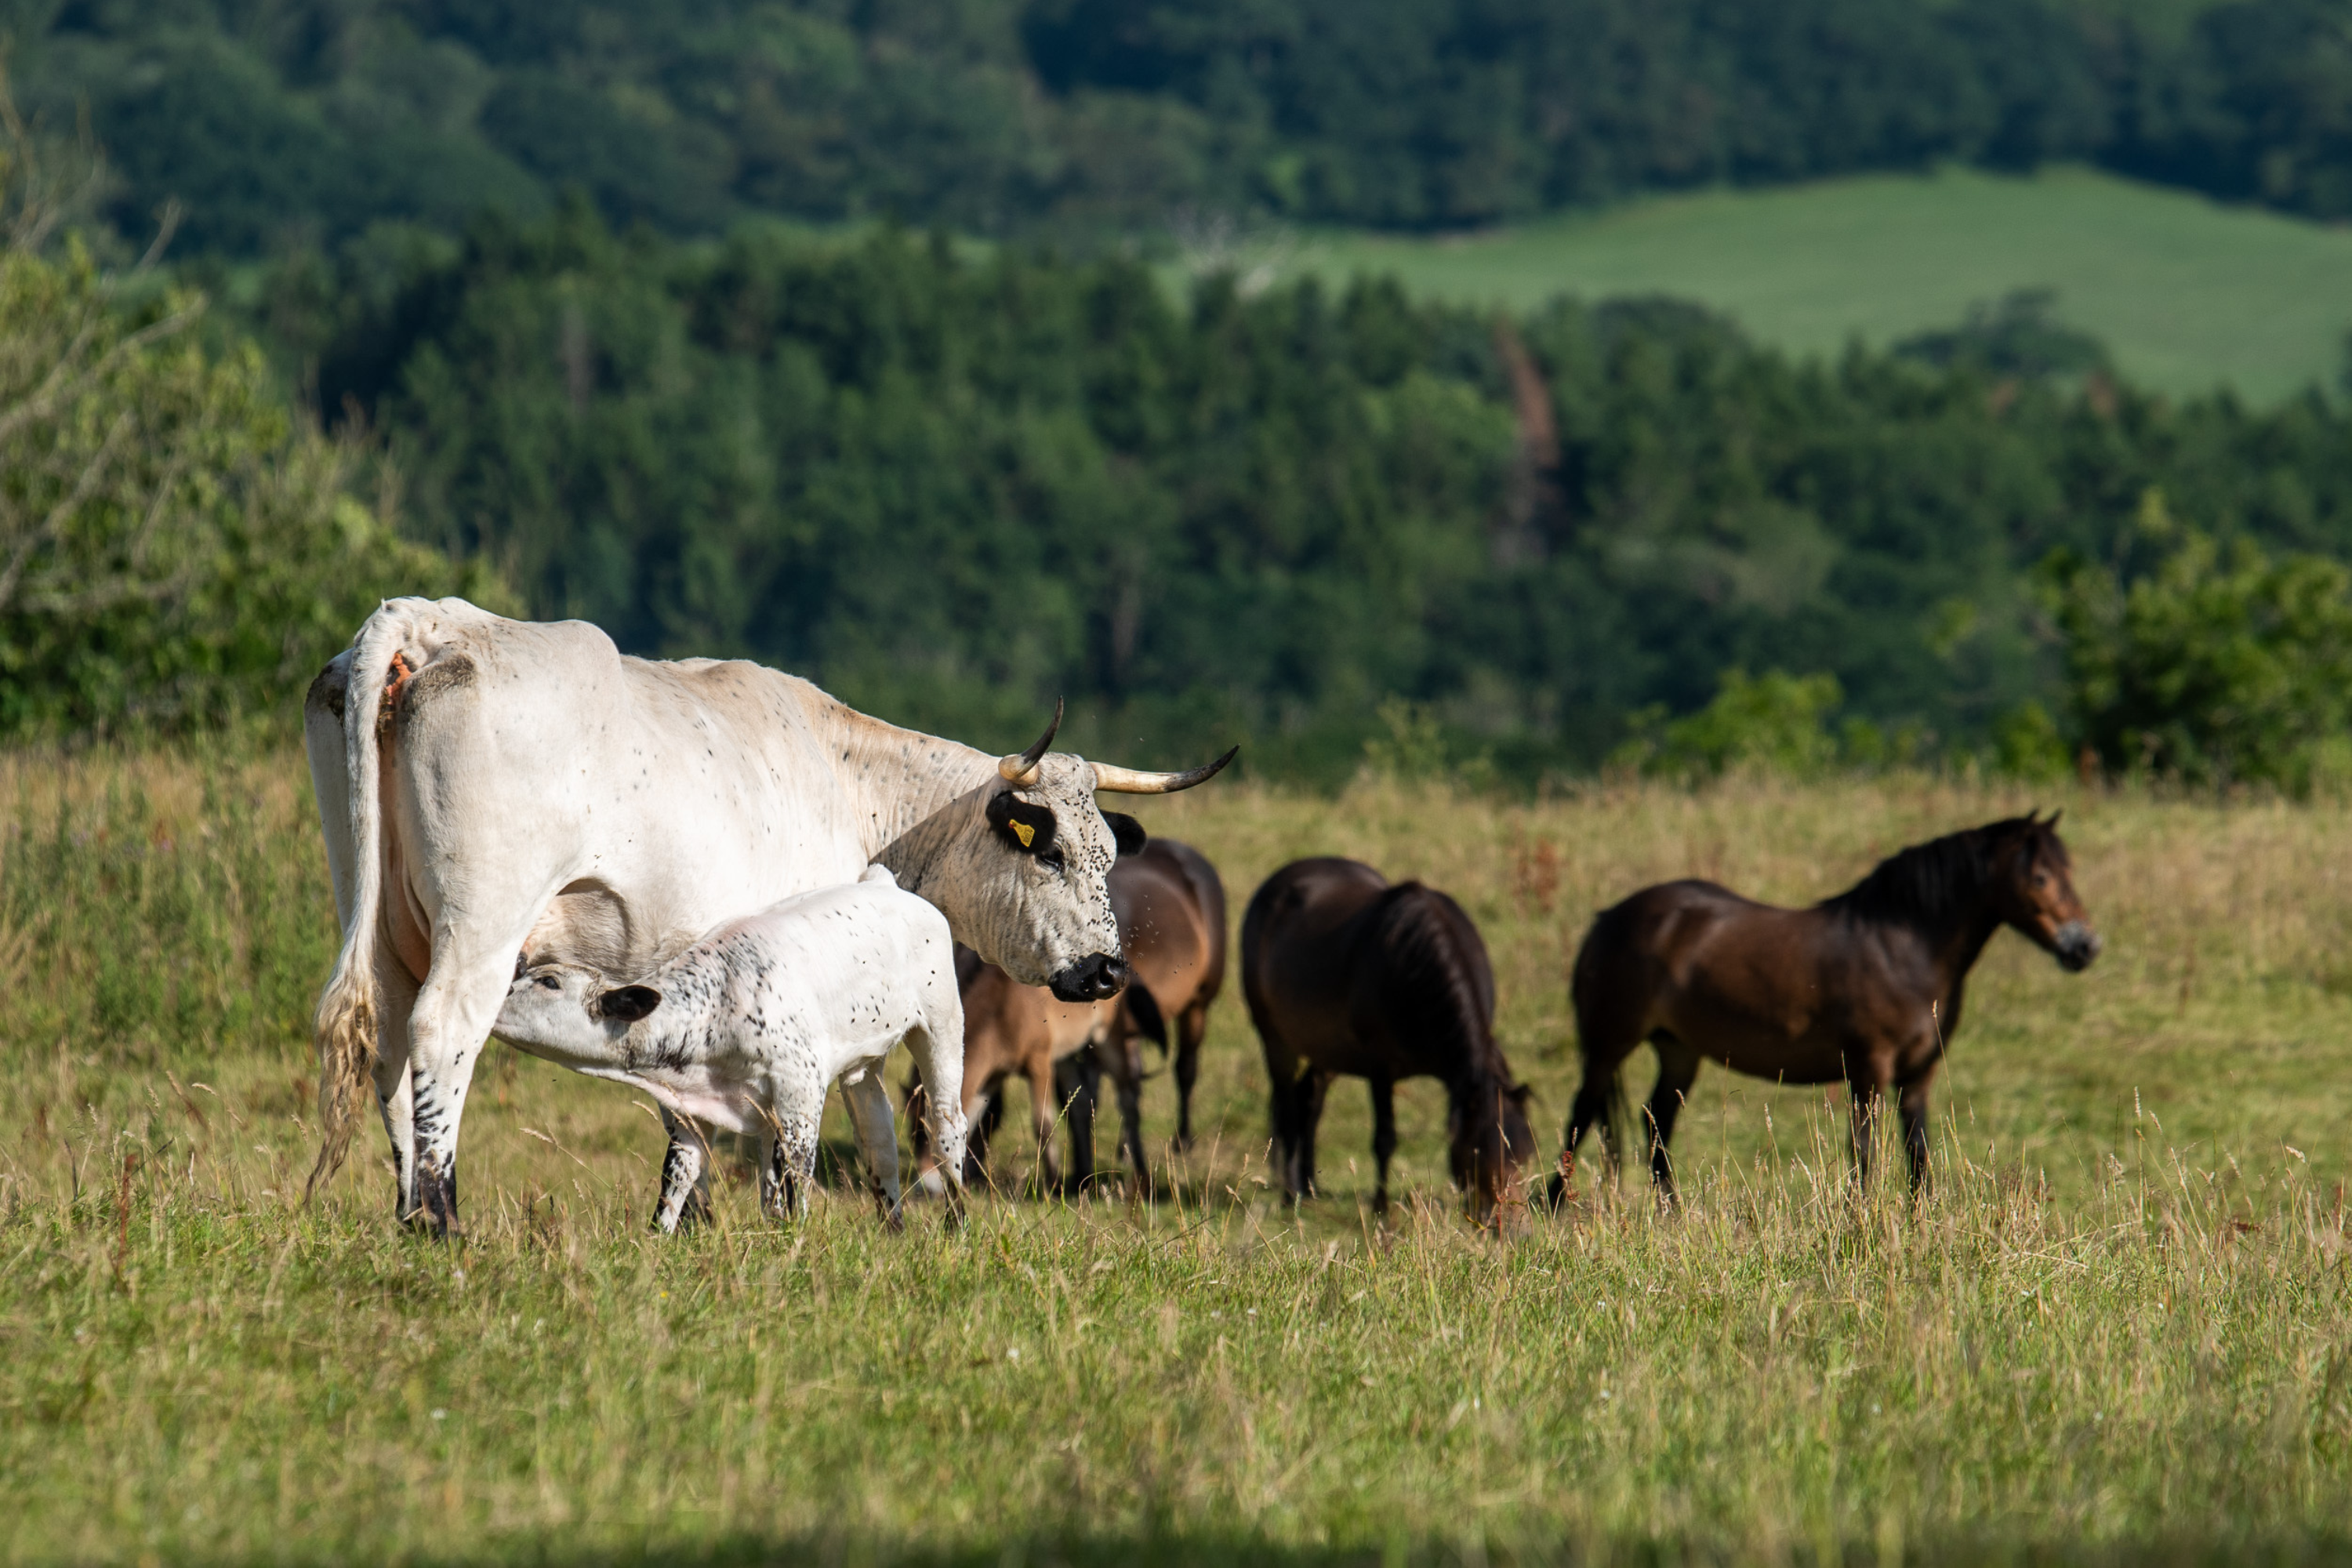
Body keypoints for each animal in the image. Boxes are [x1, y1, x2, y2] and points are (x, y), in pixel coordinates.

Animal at [491, 866, 967, 1232]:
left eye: (549, 982)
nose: (496, 996)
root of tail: (884, 884)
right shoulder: (692, 1109)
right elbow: (679, 1175)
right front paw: (656, 1240)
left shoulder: (800, 1089)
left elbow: (795, 1170)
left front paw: (795, 1238)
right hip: (864, 1066)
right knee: (878, 1137)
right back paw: (894, 1229)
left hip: (942, 1025)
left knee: (946, 1123)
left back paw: (956, 1224)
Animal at [1241, 857, 1535, 1226]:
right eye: (1478, 1154)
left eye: (1526, 1155)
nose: (1516, 1230)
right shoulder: (1381, 1068)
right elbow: (1385, 1139)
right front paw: (1381, 1210)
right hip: (1275, 1038)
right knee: (1287, 1106)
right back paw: (1290, 1191)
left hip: (1327, 1049)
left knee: (1311, 1098)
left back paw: (1309, 1187)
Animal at [1553, 811, 2100, 1202]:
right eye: (2040, 877)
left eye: (2071, 872)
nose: (2085, 946)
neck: (1902, 946)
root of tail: (1609, 918)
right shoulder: (1868, 1068)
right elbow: (1864, 1152)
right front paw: (1859, 1216)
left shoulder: (1918, 1073)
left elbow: (1917, 1154)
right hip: (1608, 1045)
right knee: (1582, 1114)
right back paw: (1554, 1206)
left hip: (1679, 1050)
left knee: (1655, 1123)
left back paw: (1674, 1214)